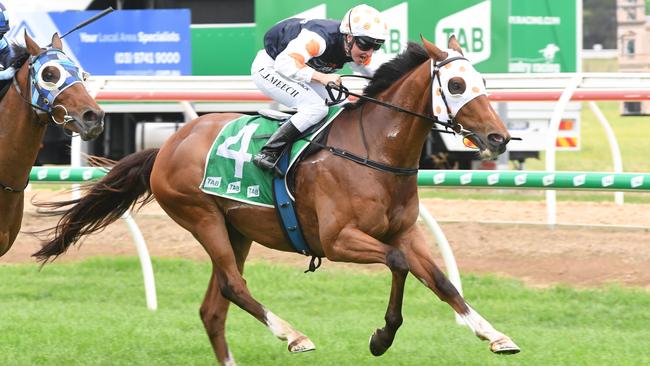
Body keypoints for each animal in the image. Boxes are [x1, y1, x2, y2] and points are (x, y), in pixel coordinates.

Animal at [36, 36, 520, 364]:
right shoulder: (338, 240)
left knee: (214, 308)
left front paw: (496, 335)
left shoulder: (404, 232)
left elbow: (441, 281)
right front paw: (382, 337)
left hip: (238, 231)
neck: (373, 150)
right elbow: (398, 264)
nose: (499, 137)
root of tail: (169, 144)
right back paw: (293, 335)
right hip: (202, 218)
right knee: (233, 287)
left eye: (482, 81)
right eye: (455, 84)